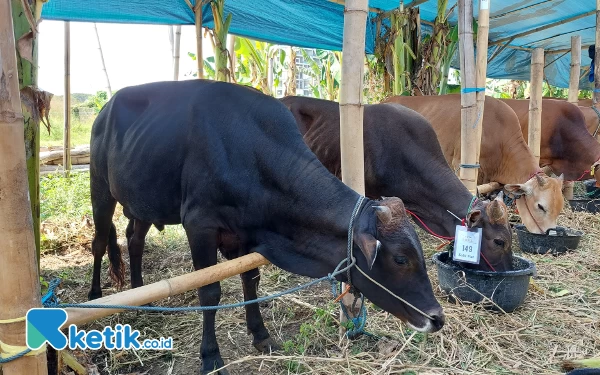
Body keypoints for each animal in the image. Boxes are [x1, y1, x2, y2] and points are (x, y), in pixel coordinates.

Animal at [90, 81, 446, 374]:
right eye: (400, 259)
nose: (437, 318)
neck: (249, 153)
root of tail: (105, 109)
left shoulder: (246, 234)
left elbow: (251, 281)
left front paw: (260, 334)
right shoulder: (199, 225)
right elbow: (210, 292)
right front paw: (210, 356)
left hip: (141, 204)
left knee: (134, 241)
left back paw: (143, 296)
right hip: (101, 191)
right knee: (99, 242)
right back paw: (95, 295)